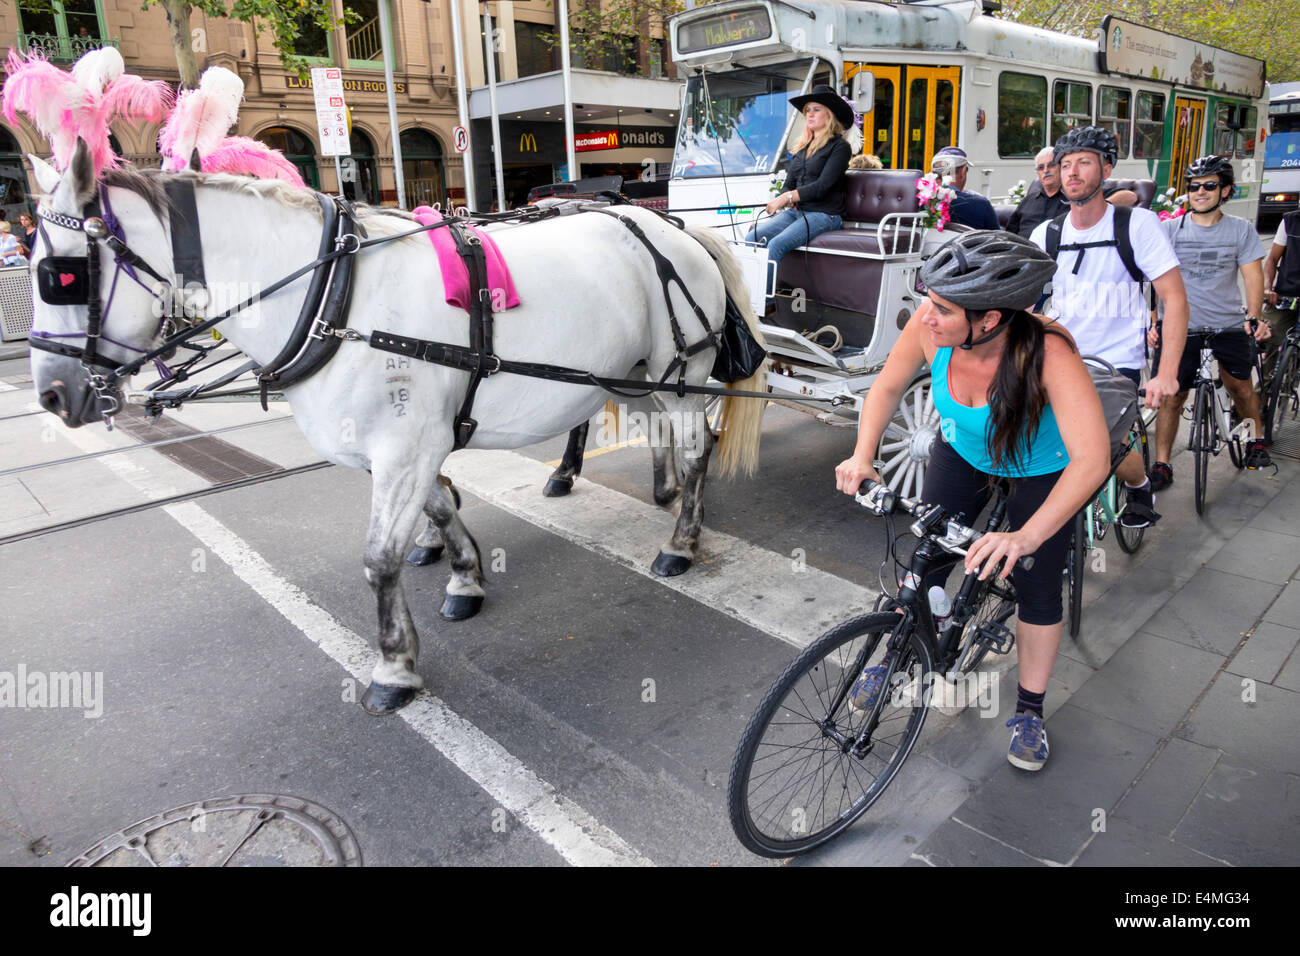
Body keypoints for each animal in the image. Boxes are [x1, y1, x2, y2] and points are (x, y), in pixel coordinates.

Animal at [30, 140, 764, 712]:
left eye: (59, 275)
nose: (52, 395)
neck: (333, 298)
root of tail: (672, 227)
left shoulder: (406, 448)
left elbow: (379, 559)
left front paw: (394, 666)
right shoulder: (409, 446)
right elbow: (438, 509)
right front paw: (464, 573)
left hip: (680, 368)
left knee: (696, 446)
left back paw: (681, 539)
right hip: (632, 372)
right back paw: (652, 490)